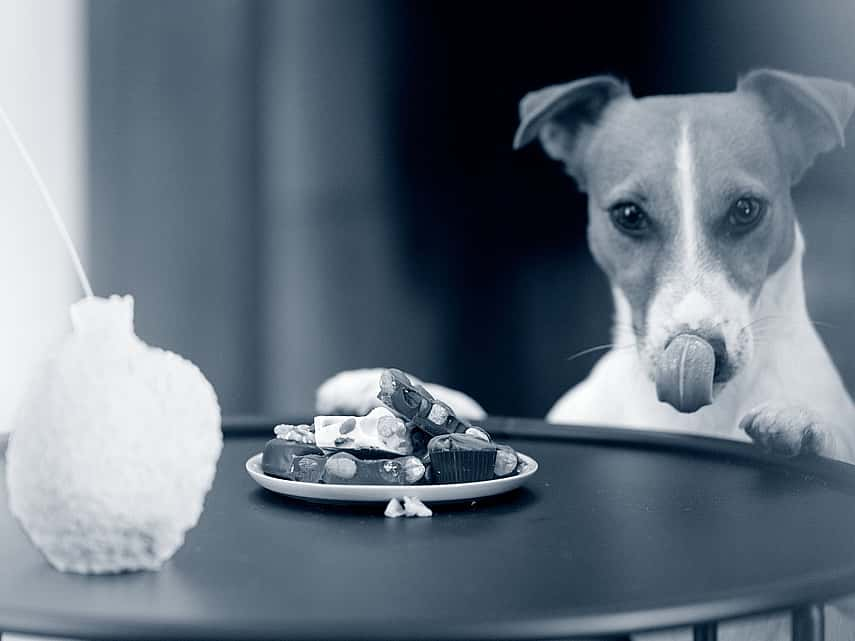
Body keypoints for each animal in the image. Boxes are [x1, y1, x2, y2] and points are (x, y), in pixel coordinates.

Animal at [318, 67, 855, 636]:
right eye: (629, 215)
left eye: (746, 210)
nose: (699, 348)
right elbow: (462, 411)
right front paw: (371, 391)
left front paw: (803, 427)